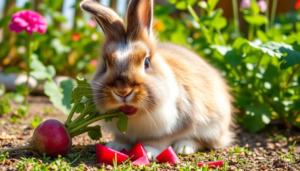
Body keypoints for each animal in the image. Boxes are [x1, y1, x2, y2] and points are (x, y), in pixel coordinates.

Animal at [80, 0, 234, 160]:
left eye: (146, 62)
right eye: (105, 64)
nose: (122, 92)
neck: (136, 115)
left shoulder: (173, 125)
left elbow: (158, 140)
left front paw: (148, 152)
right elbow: (122, 139)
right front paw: (116, 147)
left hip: (213, 125)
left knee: (205, 141)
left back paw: (184, 147)